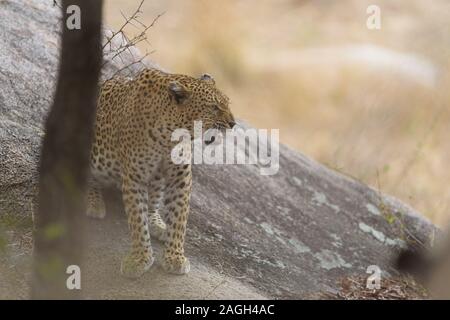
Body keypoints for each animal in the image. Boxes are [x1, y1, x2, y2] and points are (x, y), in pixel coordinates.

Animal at [86, 67, 237, 278]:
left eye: (227, 104)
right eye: (214, 107)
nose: (233, 123)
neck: (170, 134)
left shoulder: (181, 178)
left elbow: (179, 218)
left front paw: (174, 257)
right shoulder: (134, 177)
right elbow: (137, 220)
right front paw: (139, 258)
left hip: (157, 180)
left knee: (153, 206)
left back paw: (159, 225)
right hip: (100, 157)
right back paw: (93, 202)